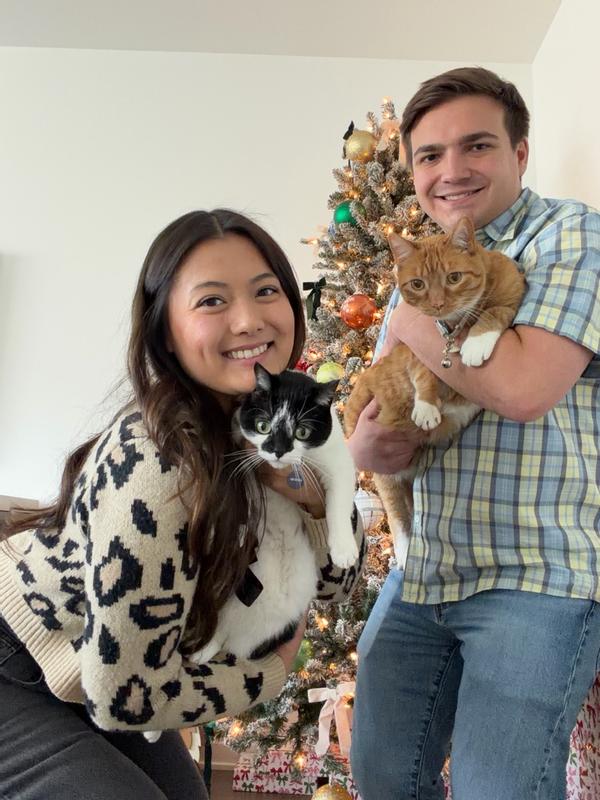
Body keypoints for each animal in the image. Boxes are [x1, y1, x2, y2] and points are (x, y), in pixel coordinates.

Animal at [144, 364, 358, 742]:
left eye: (302, 431)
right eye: (263, 426)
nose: (277, 451)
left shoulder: (337, 460)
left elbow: (339, 500)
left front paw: (345, 549)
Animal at [344, 216, 526, 567]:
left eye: (454, 278)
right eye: (418, 284)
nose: (438, 304)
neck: (455, 326)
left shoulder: (513, 291)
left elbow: (494, 312)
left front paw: (476, 344)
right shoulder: (414, 350)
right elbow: (423, 373)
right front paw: (426, 407)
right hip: (383, 475)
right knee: (397, 516)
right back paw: (402, 554)